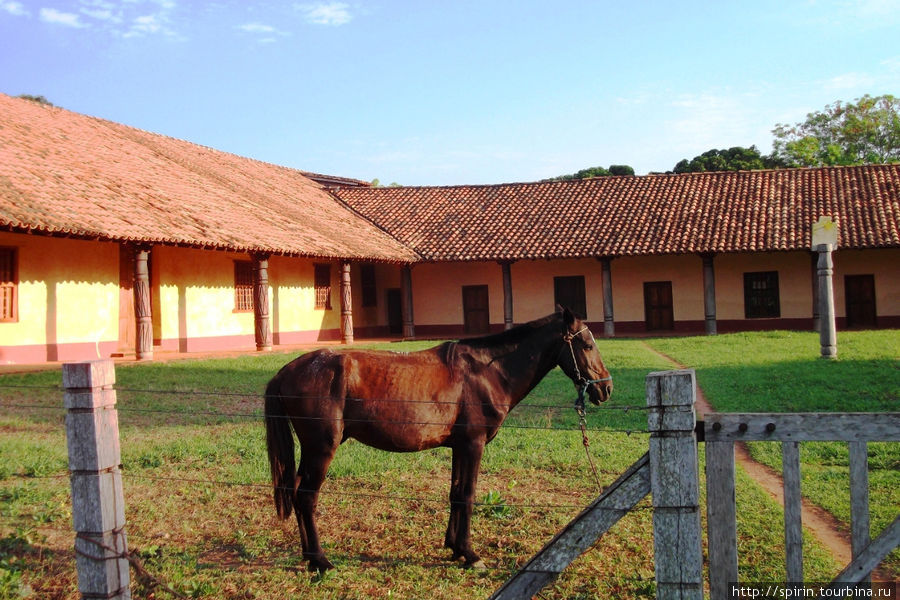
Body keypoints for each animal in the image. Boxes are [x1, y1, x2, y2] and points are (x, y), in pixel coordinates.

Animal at [262, 308, 612, 576]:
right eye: (586, 344)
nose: (605, 389)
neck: (486, 372)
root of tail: (287, 370)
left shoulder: (459, 447)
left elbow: (456, 494)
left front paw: (455, 548)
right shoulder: (473, 445)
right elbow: (468, 495)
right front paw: (471, 555)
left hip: (311, 451)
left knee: (296, 493)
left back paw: (309, 558)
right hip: (321, 449)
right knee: (306, 497)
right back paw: (320, 561)